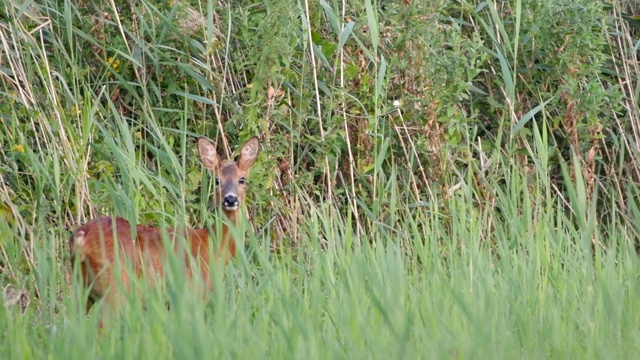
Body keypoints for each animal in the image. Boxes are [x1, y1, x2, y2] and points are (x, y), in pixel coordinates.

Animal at [70, 136, 260, 310]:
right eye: (217, 180)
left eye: (242, 179)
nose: (230, 199)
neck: (215, 244)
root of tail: (81, 239)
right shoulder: (194, 292)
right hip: (115, 286)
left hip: (83, 289)